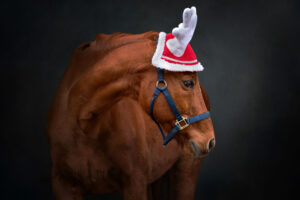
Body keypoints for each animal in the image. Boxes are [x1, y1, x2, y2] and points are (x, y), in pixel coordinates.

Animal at [47, 31, 214, 200]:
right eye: (188, 83)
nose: (210, 141)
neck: (84, 126)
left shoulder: (135, 183)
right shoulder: (63, 186)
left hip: (185, 174)